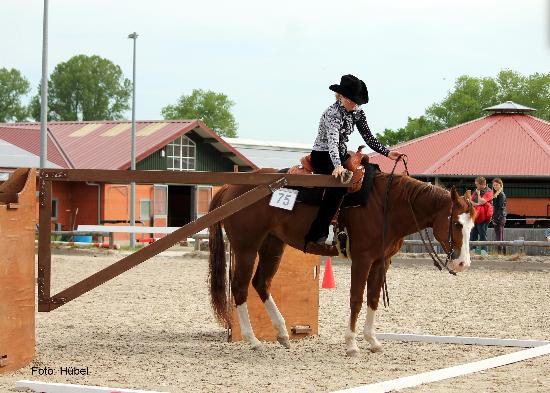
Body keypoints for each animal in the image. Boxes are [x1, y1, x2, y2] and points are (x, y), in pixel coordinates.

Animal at [209, 169, 476, 356]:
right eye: (456, 224)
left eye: (472, 225)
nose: (462, 264)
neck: (386, 206)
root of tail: (230, 187)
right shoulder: (362, 259)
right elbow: (356, 299)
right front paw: (351, 345)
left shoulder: (381, 261)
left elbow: (373, 298)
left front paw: (372, 340)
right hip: (246, 247)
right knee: (240, 287)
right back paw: (253, 340)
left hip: (272, 245)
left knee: (261, 283)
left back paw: (283, 334)